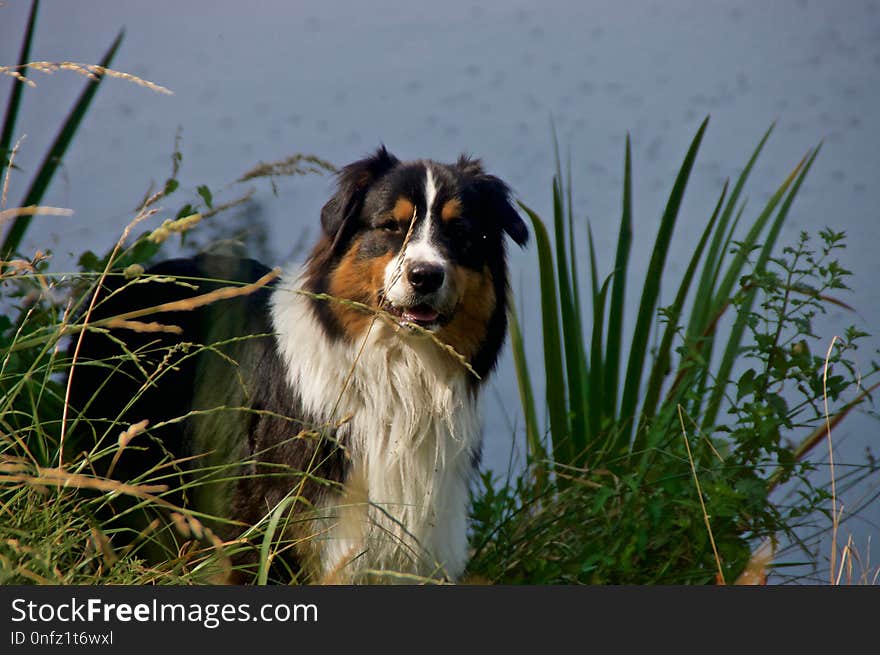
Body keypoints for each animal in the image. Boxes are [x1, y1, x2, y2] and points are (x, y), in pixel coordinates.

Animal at [69, 149, 524, 584]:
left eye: (460, 232)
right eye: (391, 226)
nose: (425, 275)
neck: (394, 376)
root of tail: (119, 280)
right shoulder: (270, 530)